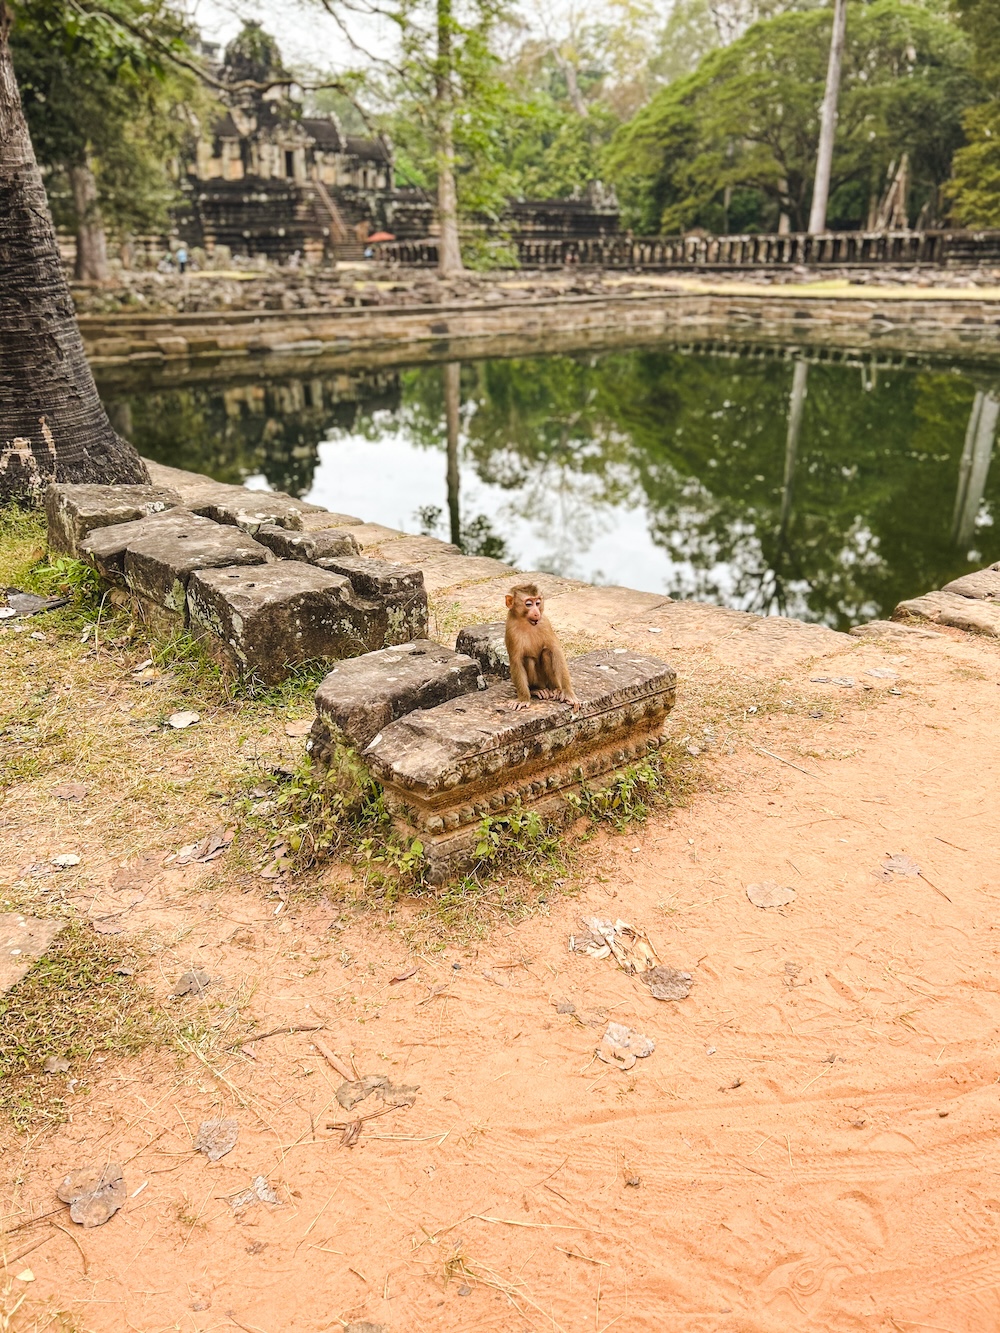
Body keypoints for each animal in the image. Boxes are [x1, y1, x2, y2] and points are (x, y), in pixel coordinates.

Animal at [509, 581, 578, 709]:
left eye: (538, 603)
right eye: (529, 604)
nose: (536, 613)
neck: (527, 622)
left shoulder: (545, 623)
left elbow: (556, 651)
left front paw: (568, 693)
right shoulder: (511, 630)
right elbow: (516, 660)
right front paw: (523, 699)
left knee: (547, 653)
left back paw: (556, 689)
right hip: (539, 681)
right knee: (528, 660)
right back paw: (536, 690)